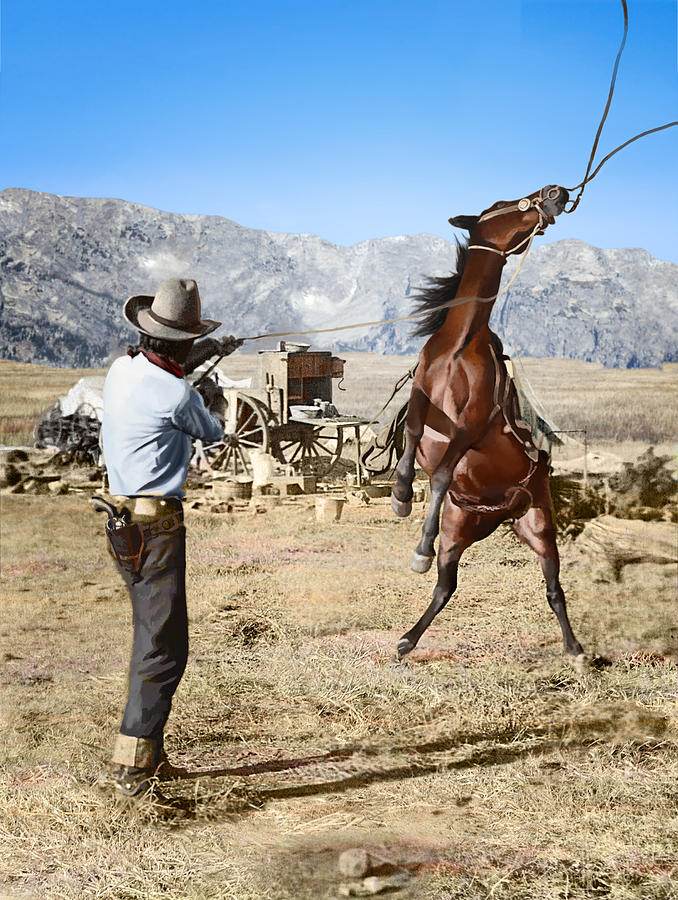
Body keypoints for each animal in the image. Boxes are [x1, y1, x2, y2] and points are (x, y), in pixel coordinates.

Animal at [390, 185, 588, 660]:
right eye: (503, 205)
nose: (556, 193)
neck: (460, 345)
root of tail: (502, 514)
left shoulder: (473, 425)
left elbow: (443, 472)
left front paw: (416, 537)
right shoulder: (424, 399)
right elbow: (411, 431)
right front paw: (401, 495)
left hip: (539, 526)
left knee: (553, 587)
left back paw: (575, 651)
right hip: (457, 532)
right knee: (445, 587)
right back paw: (407, 640)